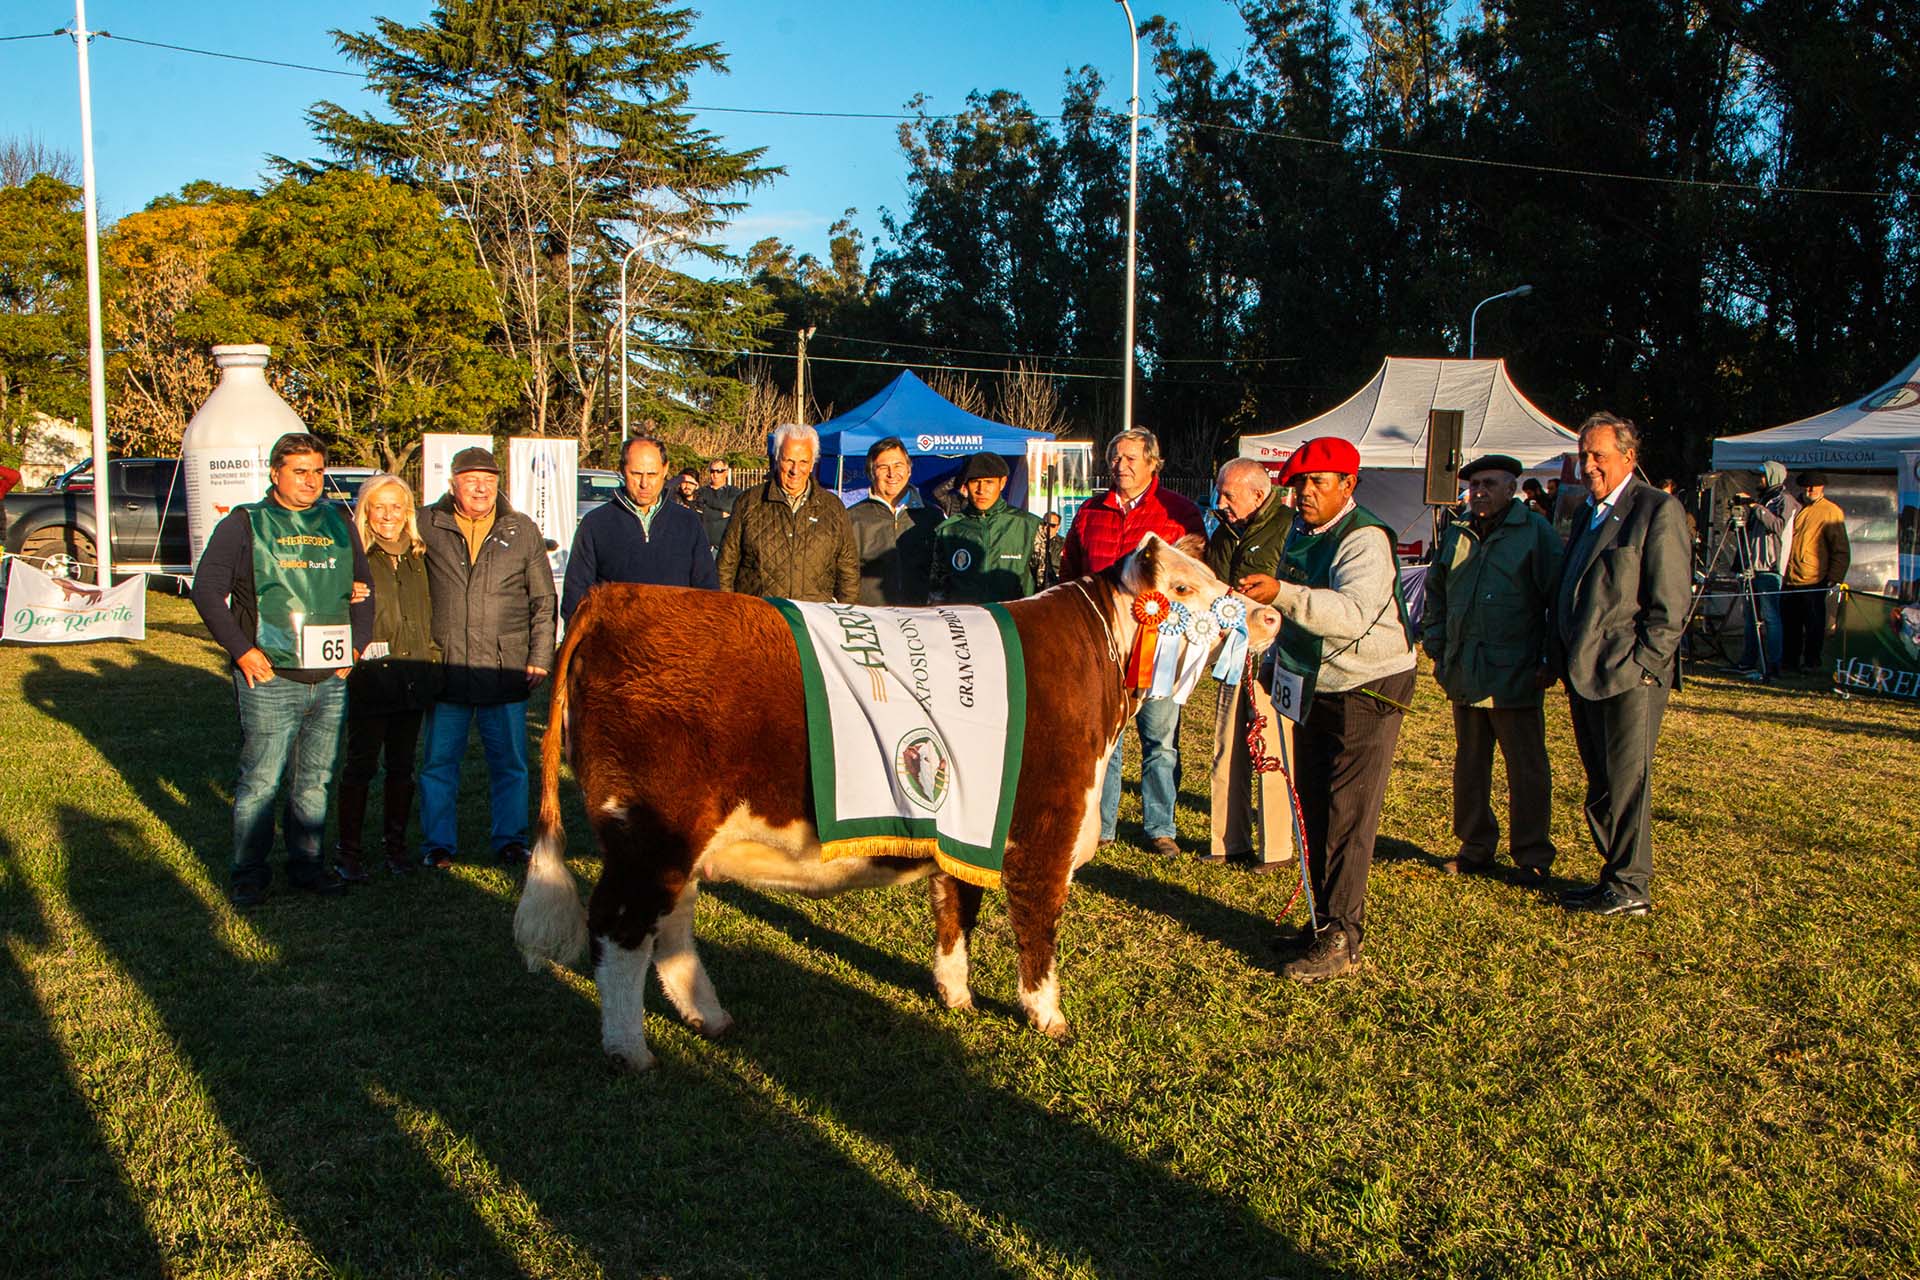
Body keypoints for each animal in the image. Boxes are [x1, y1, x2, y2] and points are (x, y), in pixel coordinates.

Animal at [518, 529, 1282, 1074]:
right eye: (1182, 587)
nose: (1268, 614)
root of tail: (618, 596)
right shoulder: (1045, 831)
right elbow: (1037, 929)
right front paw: (1048, 1017)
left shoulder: (974, 821)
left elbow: (956, 912)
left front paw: (955, 995)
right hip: (649, 831)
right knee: (621, 931)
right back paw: (630, 1050)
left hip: (680, 838)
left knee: (670, 930)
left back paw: (710, 1017)